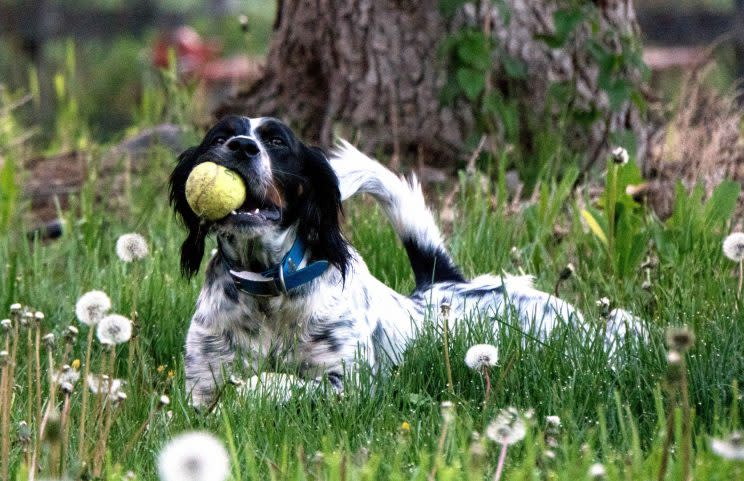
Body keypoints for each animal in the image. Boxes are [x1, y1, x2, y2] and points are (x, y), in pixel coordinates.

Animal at [170, 115, 640, 404]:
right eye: (218, 138)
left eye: (277, 142)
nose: (241, 146)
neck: (267, 293)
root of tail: (444, 283)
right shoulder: (199, 385)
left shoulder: (347, 385)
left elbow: (269, 381)